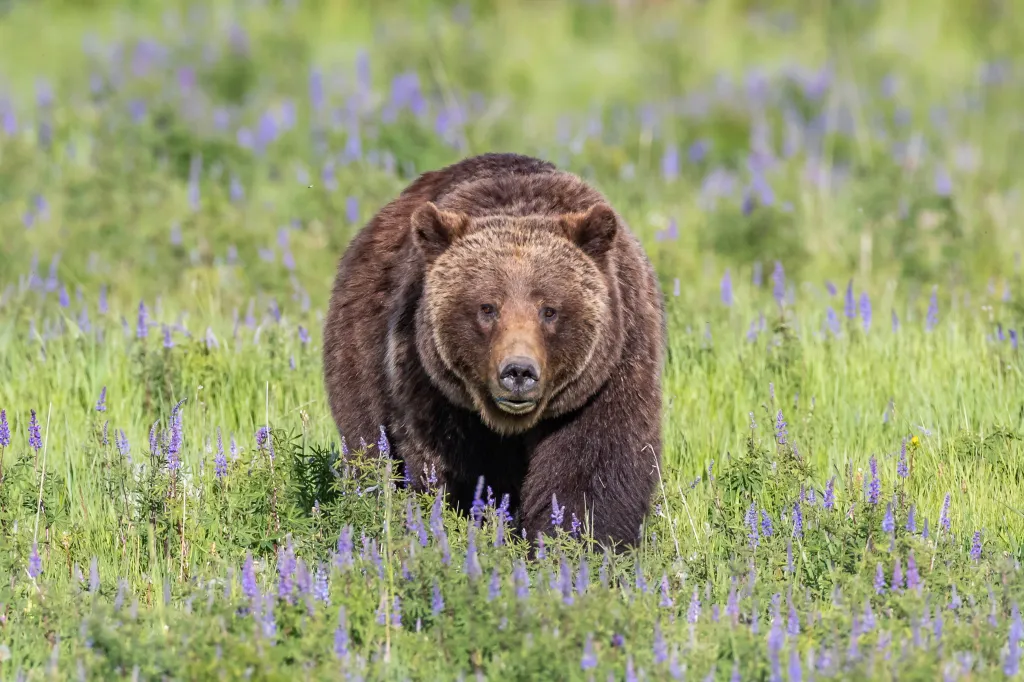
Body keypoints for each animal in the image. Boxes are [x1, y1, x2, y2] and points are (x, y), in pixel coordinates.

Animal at [322, 152, 665, 549]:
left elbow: (593, 467)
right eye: (487, 307)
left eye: (549, 310)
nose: (518, 371)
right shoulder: (432, 386)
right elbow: (453, 468)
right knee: (367, 442)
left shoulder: (607, 374)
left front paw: (578, 542)